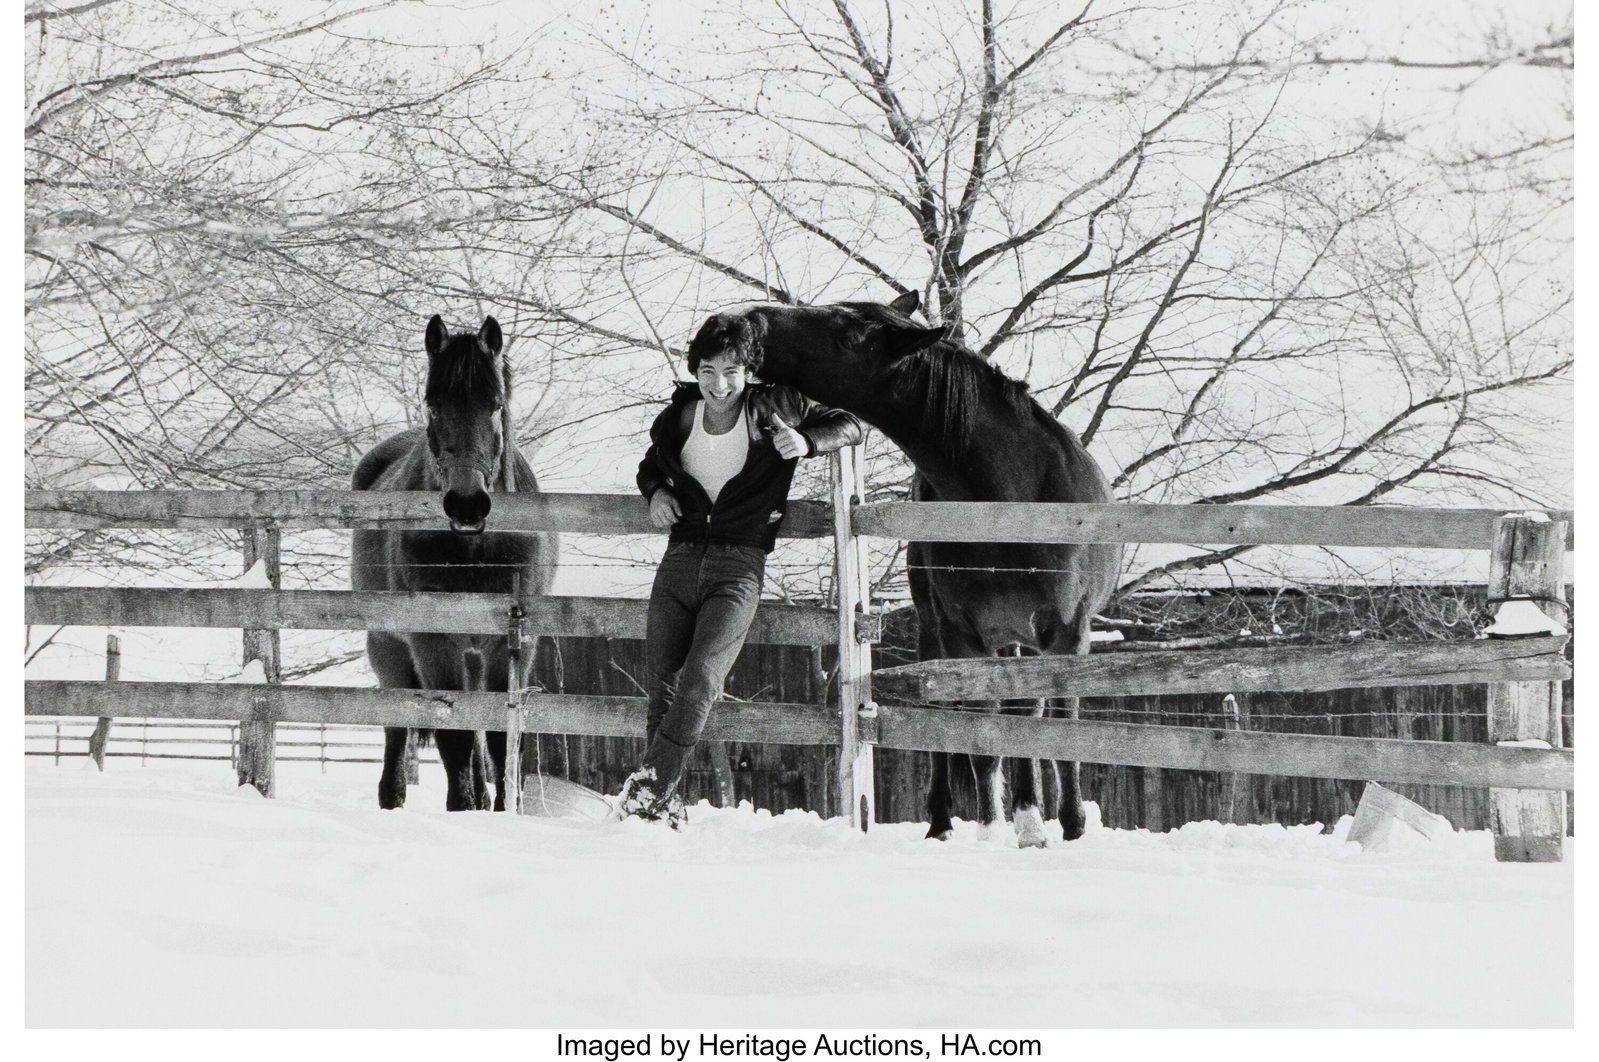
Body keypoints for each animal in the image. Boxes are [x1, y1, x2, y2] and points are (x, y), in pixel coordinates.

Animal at [351, 314, 557, 811]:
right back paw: (394, 800)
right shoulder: (434, 644)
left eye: (496, 404)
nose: (467, 504)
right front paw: (463, 808)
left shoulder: (512, 647)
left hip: (474, 657)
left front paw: (501, 810)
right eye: (433, 404)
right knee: (397, 727)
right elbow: (455, 737)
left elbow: (501, 741)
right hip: (387, 647)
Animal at [694, 292, 1122, 846]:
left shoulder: (1068, 636)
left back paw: (1032, 820)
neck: (1011, 498)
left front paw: (1069, 829)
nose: (743, 322)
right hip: (942, 631)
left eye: (848, 336)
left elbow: (1059, 732)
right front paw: (989, 832)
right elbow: (981, 736)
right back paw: (946, 824)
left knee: (1030, 715)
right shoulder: (964, 634)